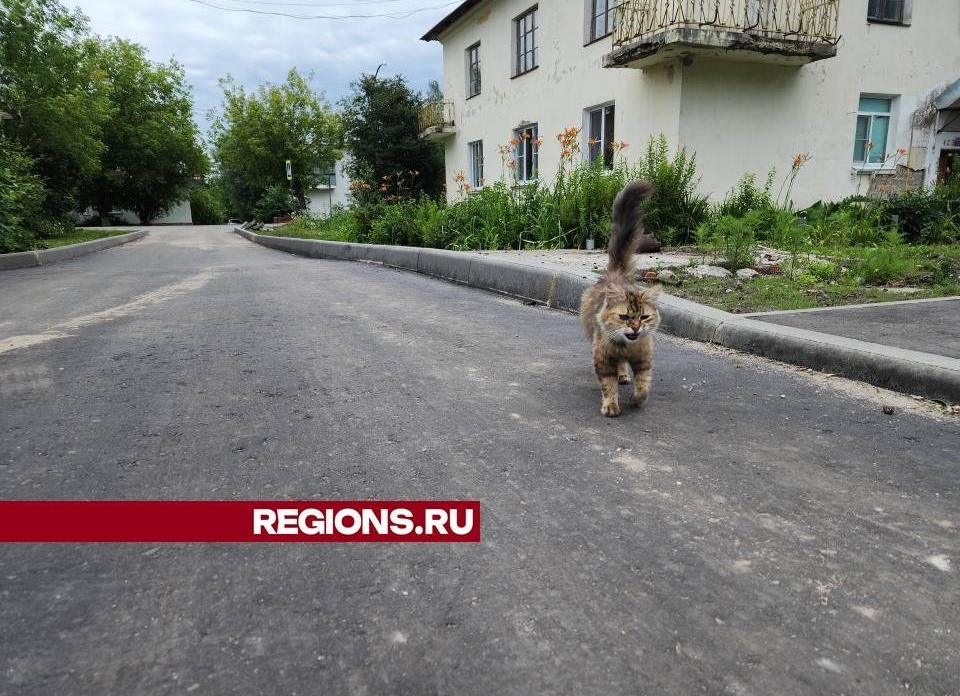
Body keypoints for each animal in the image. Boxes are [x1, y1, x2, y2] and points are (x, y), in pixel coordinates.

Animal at [576, 181, 660, 418]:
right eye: (624, 317)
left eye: (644, 317)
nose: (635, 328)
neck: (625, 347)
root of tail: (616, 274)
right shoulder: (603, 360)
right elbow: (608, 386)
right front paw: (611, 406)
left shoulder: (644, 360)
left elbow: (643, 386)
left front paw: (636, 399)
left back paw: (624, 376)